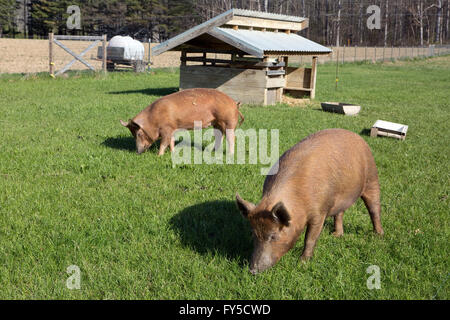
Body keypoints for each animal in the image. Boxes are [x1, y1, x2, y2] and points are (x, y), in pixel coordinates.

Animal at [236, 129, 384, 274]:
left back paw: (378, 235)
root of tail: (358, 137)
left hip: (372, 177)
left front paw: (302, 263)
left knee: (374, 209)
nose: (252, 270)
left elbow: (310, 238)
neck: (298, 201)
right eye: (253, 234)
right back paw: (336, 235)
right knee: (340, 213)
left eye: (273, 236)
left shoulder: (319, 212)